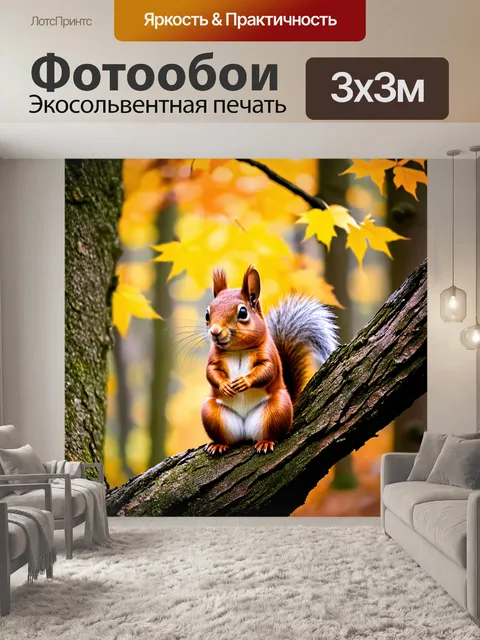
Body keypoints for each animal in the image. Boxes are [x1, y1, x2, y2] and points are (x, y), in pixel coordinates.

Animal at [202, 265, 338, 456]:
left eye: (243, 312)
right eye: (207, 314)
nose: (215, 332)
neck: (237, 350)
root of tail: (245, 431)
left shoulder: (269, 354)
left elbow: (267, 371)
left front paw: (244, 381)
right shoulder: (213, 358)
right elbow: (211, 372)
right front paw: (224, 385)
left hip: (278, 408)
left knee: (273, 432)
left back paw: (266, 442)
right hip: (211, 412)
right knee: (227, 437)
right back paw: (219, 444)